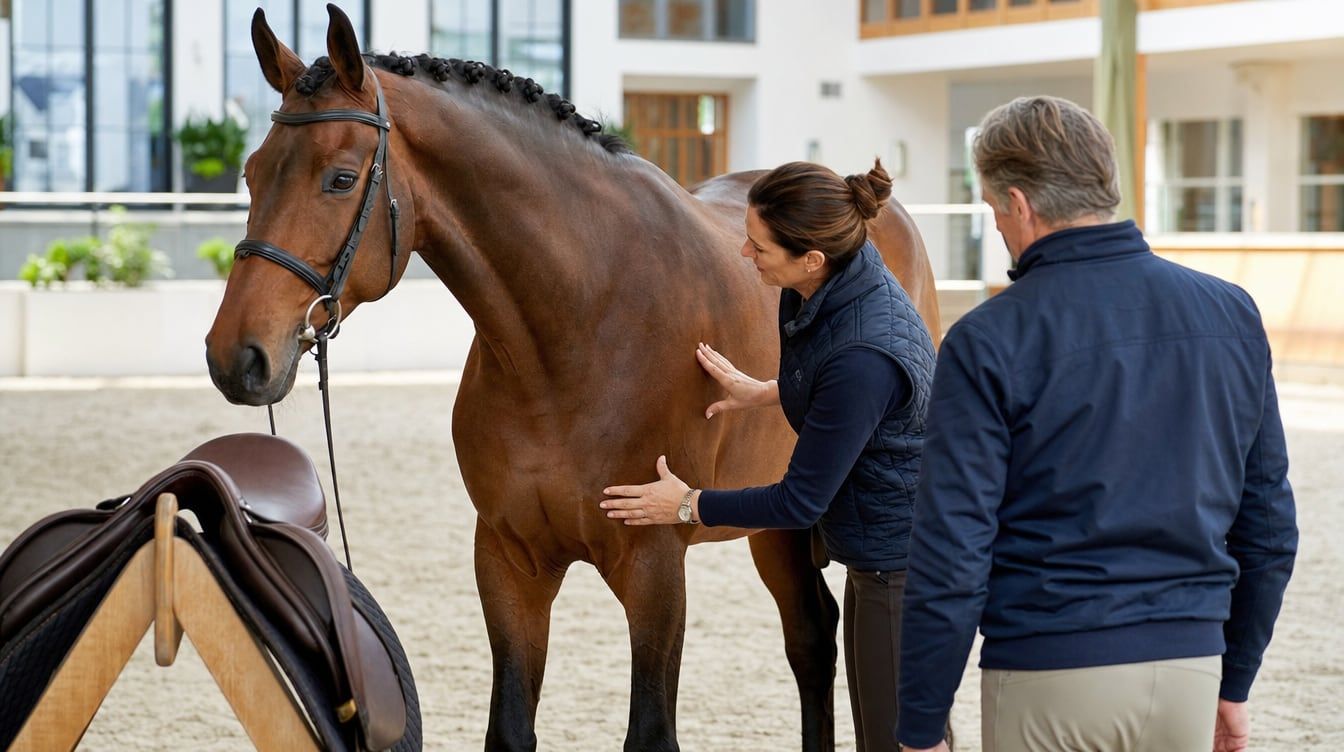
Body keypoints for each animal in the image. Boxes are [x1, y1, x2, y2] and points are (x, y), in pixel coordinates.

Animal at [205, 6, 941, 751]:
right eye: (251, 173)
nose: (235, 355)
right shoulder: (508, 561)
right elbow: (509, 726)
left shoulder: (654, 566)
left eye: (341, 178)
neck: (577, 331)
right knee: (812, 639)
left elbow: (650, 731)